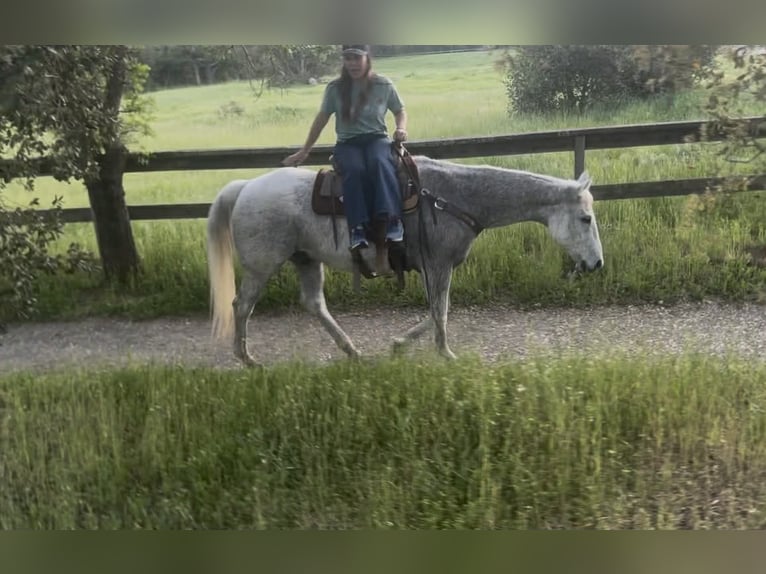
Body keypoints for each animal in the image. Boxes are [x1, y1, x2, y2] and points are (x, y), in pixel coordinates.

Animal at [206, 156, 604, 366]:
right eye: (586, 218)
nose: (597, 264)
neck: (452, 198)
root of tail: (244, 187)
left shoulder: (438, 268)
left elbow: (436, 311)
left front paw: (403, 345)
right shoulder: (437, 265)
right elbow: (439, 311)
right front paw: (445, 354)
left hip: (306, 260)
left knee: (314, 303)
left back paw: (352, 351)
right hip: (262, 266)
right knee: (242, 305)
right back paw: (247, 359)